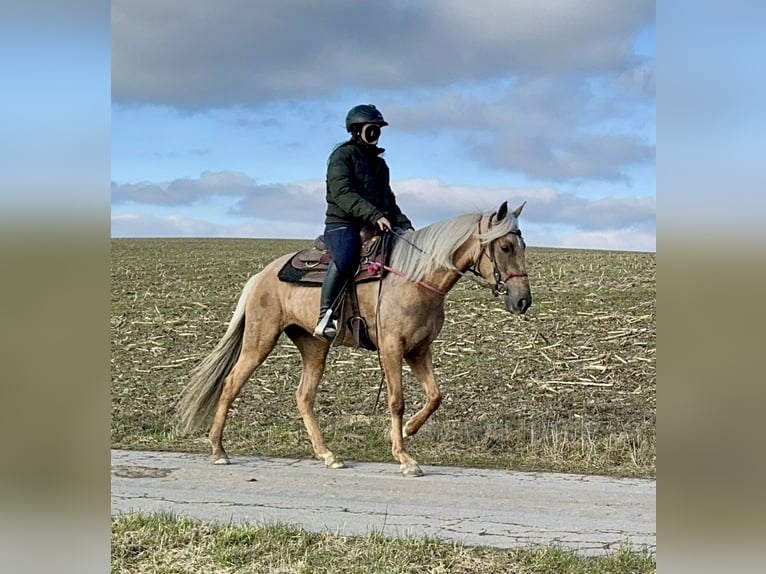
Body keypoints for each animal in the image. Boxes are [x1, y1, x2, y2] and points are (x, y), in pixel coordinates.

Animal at [176, 200, 532, 480]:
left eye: (523, 247)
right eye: (505, 247)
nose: (522, 301)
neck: (415, 278)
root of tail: (261, 276)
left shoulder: (419, 350)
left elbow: (435, 396)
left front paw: (407, 431)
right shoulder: (392, 348)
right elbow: (396, 400)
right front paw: (404, 458)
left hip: (314, 346)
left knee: (303, 396)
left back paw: (328, 455)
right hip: (259, 341)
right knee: (231, 384)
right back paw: (218, 449)